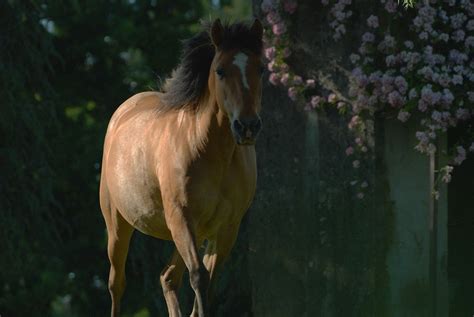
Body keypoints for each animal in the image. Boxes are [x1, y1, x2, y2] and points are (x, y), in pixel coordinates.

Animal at [98, 19, 264, 316]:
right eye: (220, 70)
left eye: (262, 68)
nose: (247, 127)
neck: (211, 152)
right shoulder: (182, 217)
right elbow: (198, 276)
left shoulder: (226, 227)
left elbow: (209, 282)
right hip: (118, 225)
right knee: (117, 284)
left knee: (167, 277)